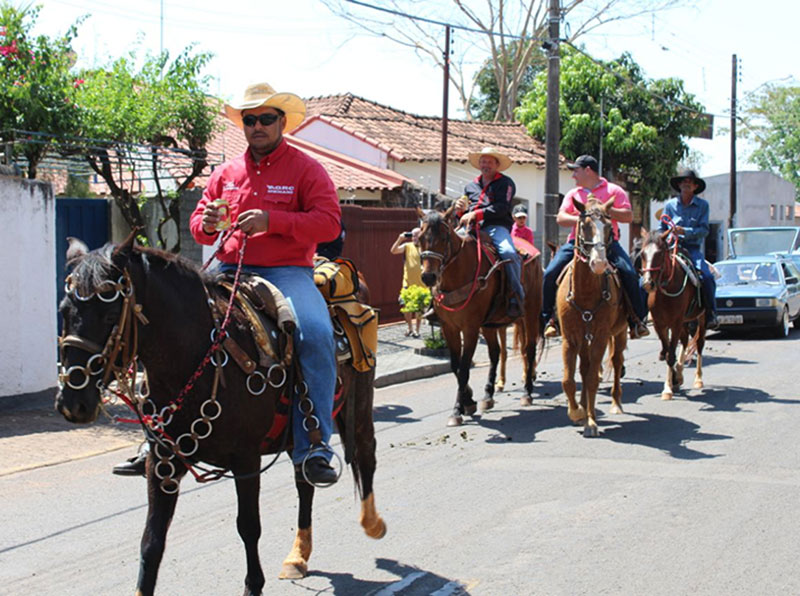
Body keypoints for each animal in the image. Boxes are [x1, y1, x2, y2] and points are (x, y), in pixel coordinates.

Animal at [54, 236, 386, 596]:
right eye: (64, 312)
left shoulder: (245, 460)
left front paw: (253, 585)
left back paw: (372, 523)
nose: (73, 401)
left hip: (358, 407)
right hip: (297, 433)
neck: (196, 359)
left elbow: (249, 526)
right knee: (304, 479)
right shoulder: (162, 462)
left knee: (365, 454)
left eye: (110, 313)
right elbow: (152, 541)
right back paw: (297, 556)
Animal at [416, 207, 540, 426]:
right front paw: (468, 401)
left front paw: (457, 410)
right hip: (490, 324)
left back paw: (527, 393)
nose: (429, 277)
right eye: (420, 238)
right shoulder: (449, 328)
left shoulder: (470, 328)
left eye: (443, 237)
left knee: (529, 349)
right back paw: (488, 396)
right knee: (495, 353)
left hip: (530, 314)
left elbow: (465, 367)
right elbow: (456, 366)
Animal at [552, 198, 628, 436]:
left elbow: (594, 378)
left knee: (616, 361)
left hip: (620, 333)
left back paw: (615, 404)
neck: (585, 292)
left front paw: (591, 421)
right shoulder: (570, 338)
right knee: (584, 369)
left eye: (609, 229)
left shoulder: (601, 337)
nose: (599, 263)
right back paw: (584, 407)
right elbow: (569, 380)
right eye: (585, 226)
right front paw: (577, 412)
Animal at [636, 228, 708, 400]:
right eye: (642, 254)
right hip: (684, 321)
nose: (647, 283)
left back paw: (698, 379)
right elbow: (668, 349)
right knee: (684, 340)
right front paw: (673, 380)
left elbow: (671, 353)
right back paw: (679, 374)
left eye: (660, 253)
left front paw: (667, 389)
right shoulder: (659, 323)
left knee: (699, 343)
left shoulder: (675, 323)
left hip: (700, 318)